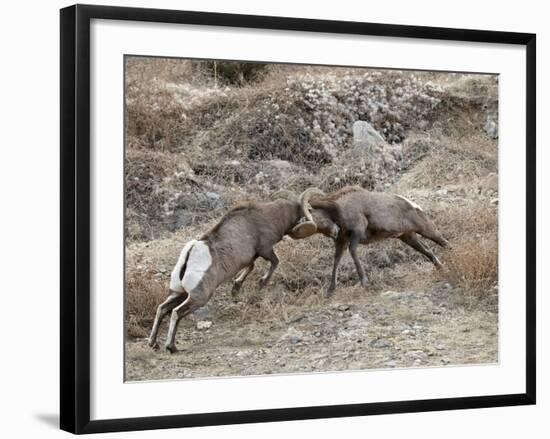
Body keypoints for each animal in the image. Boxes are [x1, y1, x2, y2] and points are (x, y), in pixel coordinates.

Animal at [149, 187, 326, 352]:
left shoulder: (251, 257)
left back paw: (153, 344)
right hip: (198, 297)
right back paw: (171, 347)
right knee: (176, 313)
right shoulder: (265, 250)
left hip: (179, 293)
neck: (273, 216)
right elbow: (275, 263)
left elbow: (250, 267)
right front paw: (261, 283)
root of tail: (191, 253)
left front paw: (236, 289)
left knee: (162, 309)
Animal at [308, 186, 450, 296]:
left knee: (446, 244)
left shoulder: (356, 233)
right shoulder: (341, 241)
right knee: (428, 251)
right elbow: (337, 259)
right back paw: (441, 269)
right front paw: (330, 291)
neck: (339, 207)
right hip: (408, 237)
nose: (333, 232)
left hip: (427, 231)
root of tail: (414, 206)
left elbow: (353, 251)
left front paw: (365, 282)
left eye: (317, 218)